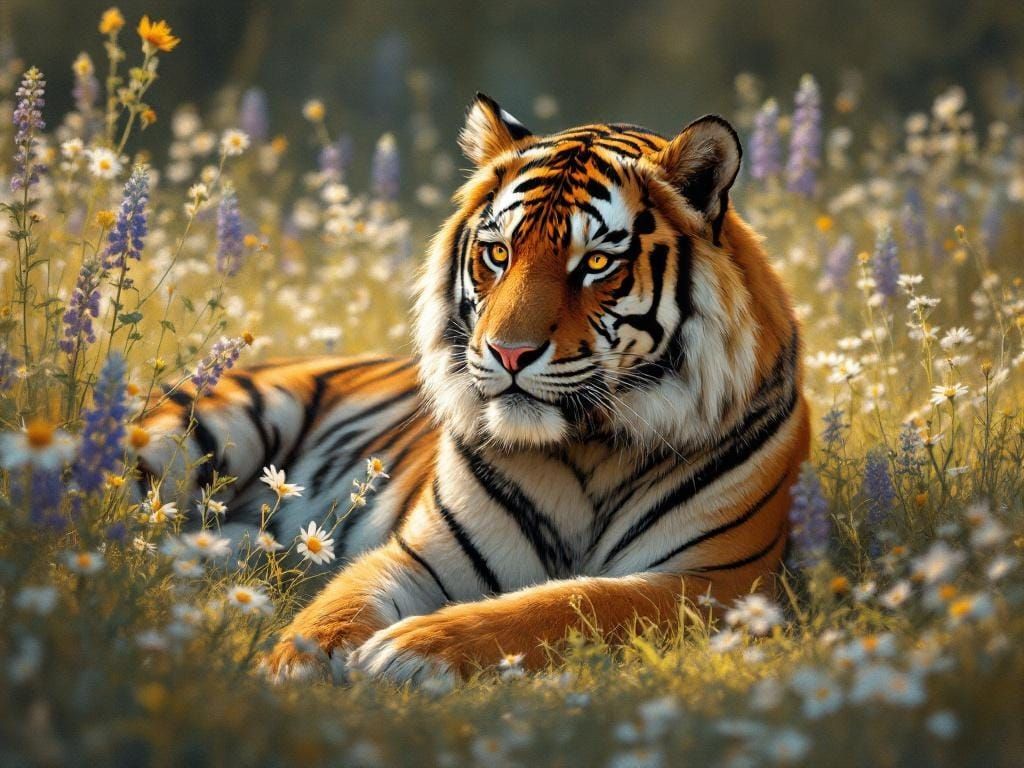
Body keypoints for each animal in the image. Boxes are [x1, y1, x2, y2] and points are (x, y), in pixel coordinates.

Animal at [138, 93, 809, 684]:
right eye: (498, 253)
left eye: (595, 264)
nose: (508, 352)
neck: (588, 450)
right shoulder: (419, 555)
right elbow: (339, 604)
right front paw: (296, 665)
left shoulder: (715, 582)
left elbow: (567, 604)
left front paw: (410, 649)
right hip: (193, 439)